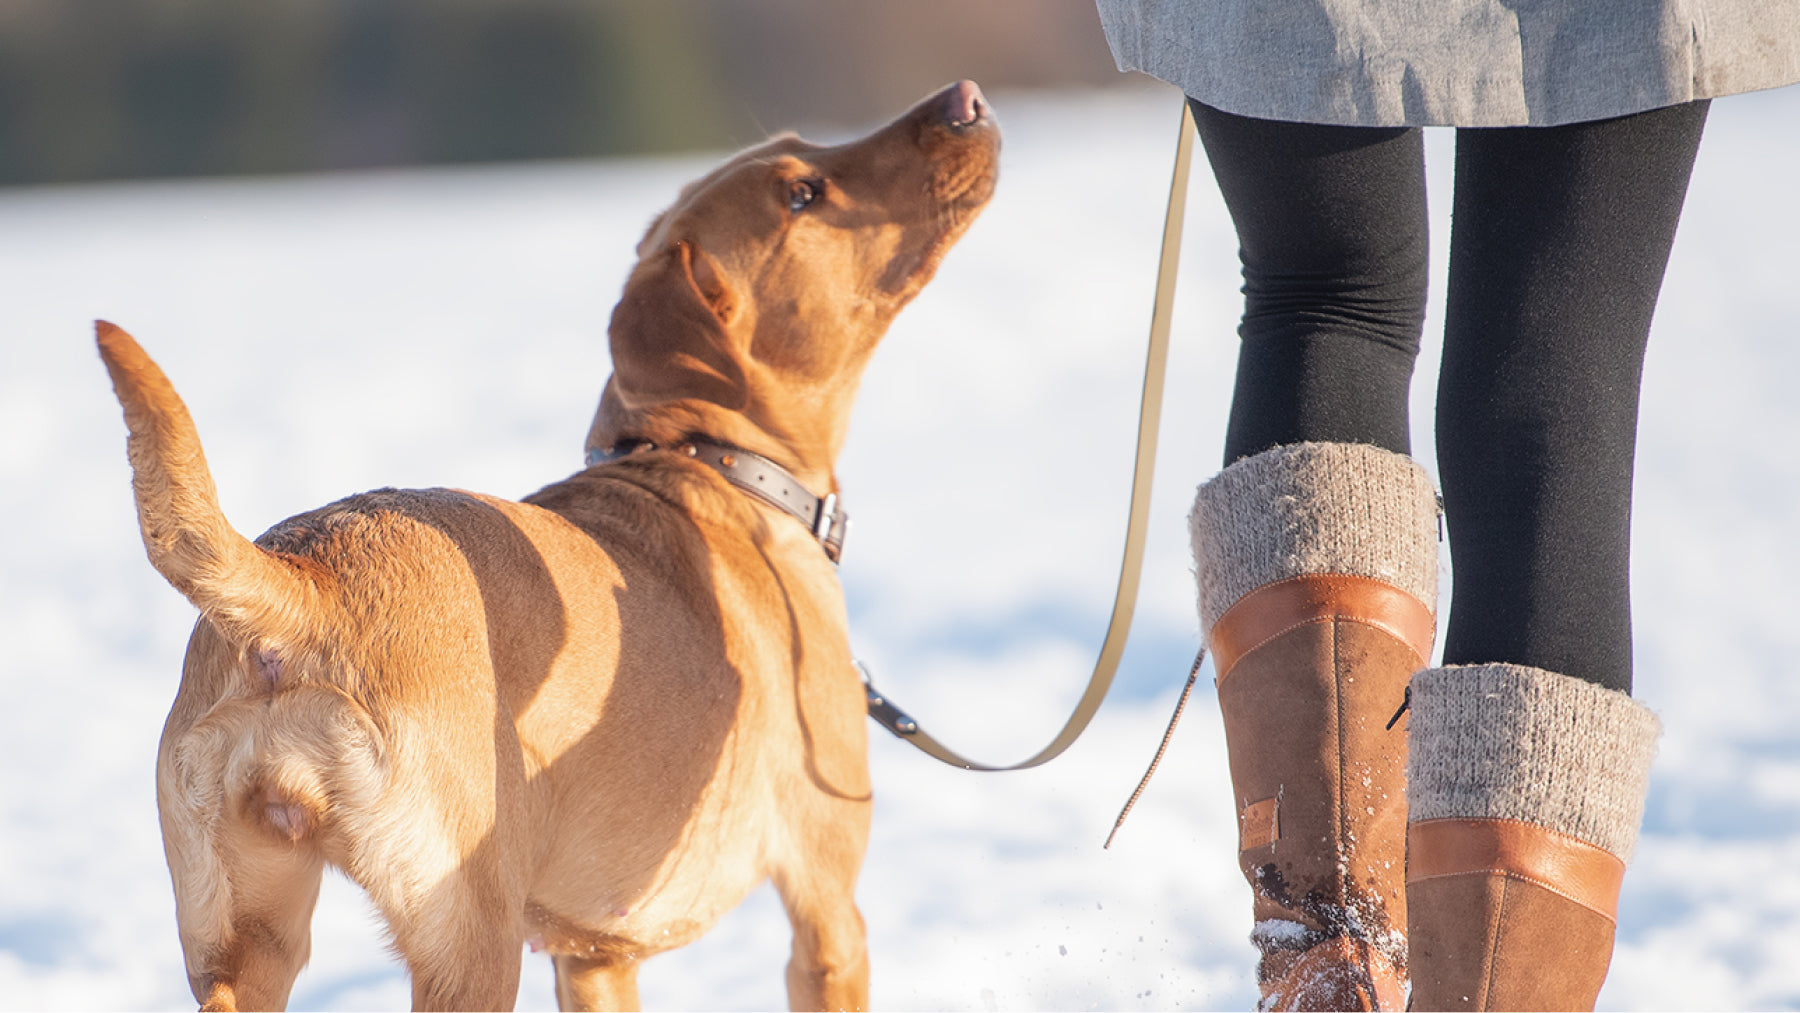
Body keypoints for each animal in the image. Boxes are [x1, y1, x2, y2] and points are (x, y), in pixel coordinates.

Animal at [102, 81, 1000, 1013]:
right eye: (802, 194)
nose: (963, 100)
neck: (710, 459)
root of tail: (301, 587)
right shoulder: (827, 908)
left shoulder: (595, 951)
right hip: (469, 932)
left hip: (241, 932)